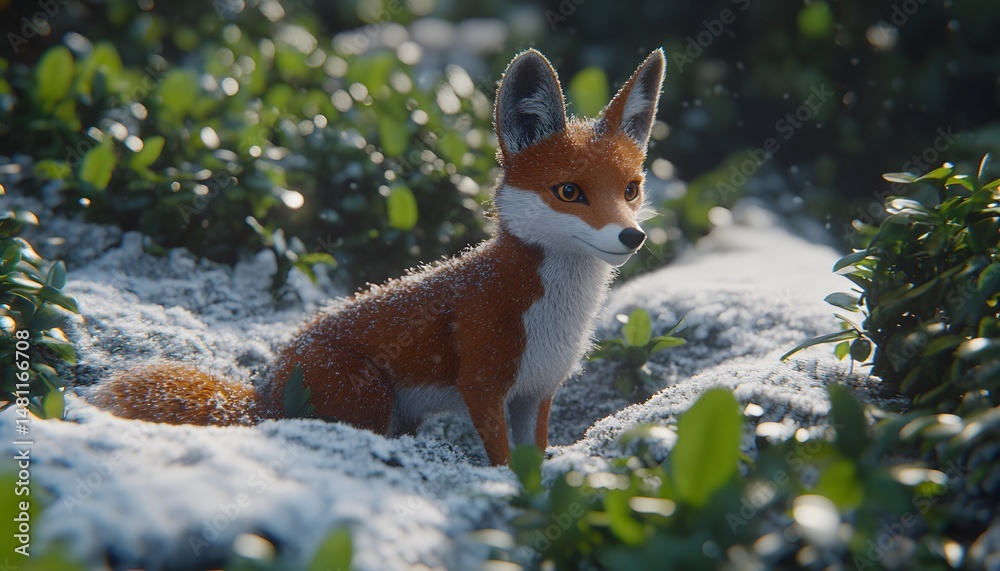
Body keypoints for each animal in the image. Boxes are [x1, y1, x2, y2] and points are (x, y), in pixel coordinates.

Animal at [88, 48, 666, 466]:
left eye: (631, 189)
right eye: (570, 192)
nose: (631, 236)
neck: (555, 314)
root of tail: (264, 388)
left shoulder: (536, 392)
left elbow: (536, 458)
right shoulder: (482, 386)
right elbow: (503, 462)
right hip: (366, 399)